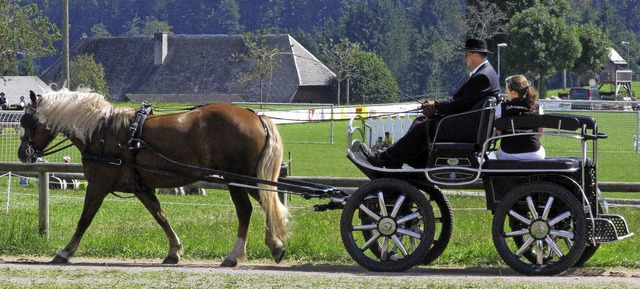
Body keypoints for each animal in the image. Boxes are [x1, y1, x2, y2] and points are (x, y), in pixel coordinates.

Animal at [18, 89, 288, 266]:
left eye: (29, 121)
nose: (23, 153)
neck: (102, 132)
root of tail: (255, 116)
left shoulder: (98, 184)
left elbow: (84, 219)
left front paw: (65, 252)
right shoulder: (142, 188)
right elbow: (161, 216)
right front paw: (174, 250)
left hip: (237, 179)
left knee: (246, 210)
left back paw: (234, 255)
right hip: (251, 178)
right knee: (269, 204)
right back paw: (276, 246)